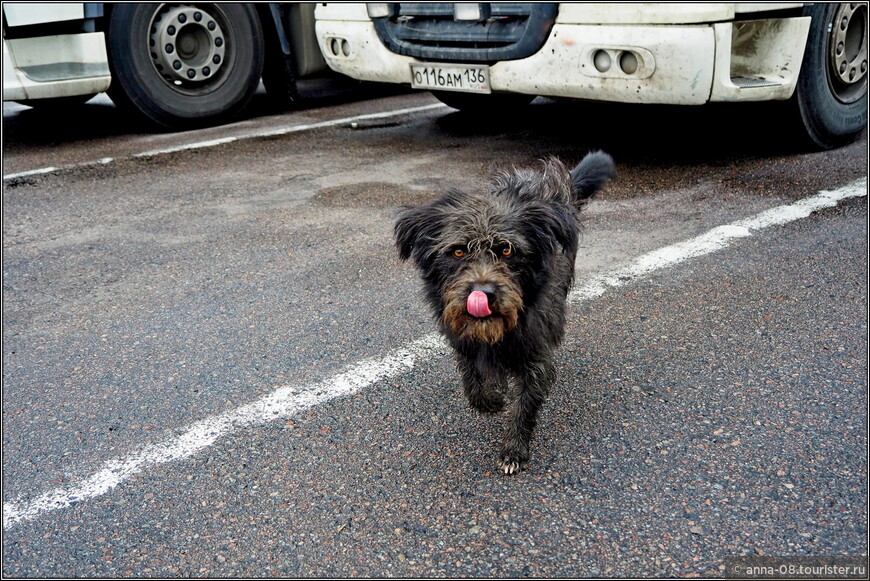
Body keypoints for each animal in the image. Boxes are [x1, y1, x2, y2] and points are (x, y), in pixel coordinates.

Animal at [396, 152, 612, 474]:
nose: (483, 294)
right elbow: (472, 378)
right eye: (458, 251)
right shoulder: (462, 339)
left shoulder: (536, 353)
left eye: (507, 251)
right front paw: (491, 399)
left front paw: (513, 450)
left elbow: (525, 403)